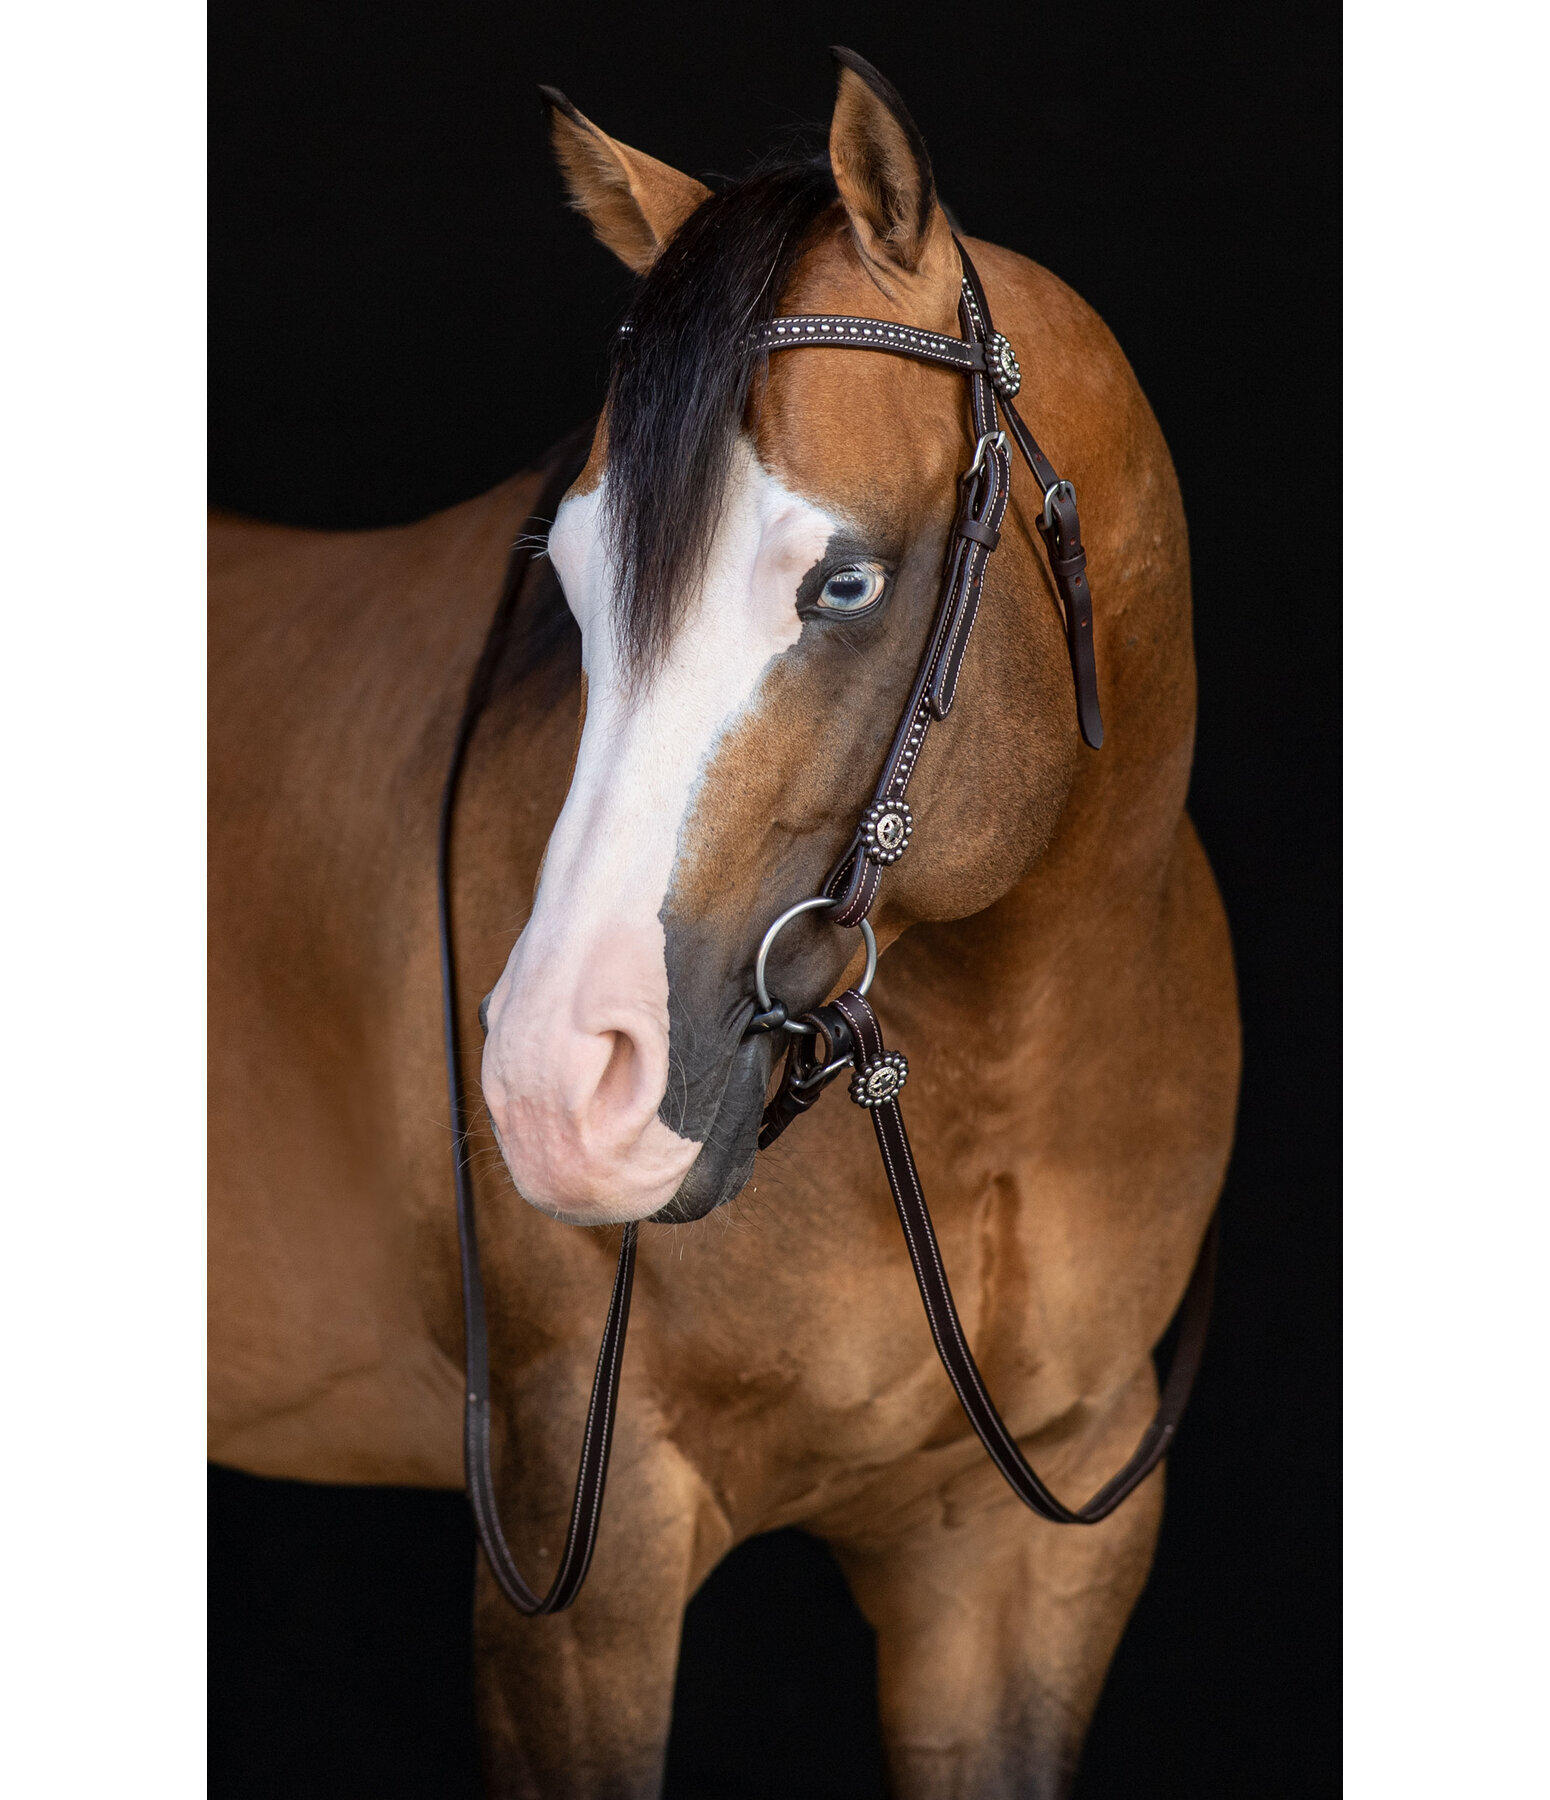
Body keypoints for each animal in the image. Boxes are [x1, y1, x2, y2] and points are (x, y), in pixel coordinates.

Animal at [208, 49, 1245, 1792]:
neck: (1002, 1065)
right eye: (567, 578)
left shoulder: (1028, 1558)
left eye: (845, 585)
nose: (555, 1090)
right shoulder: (592, 1547)